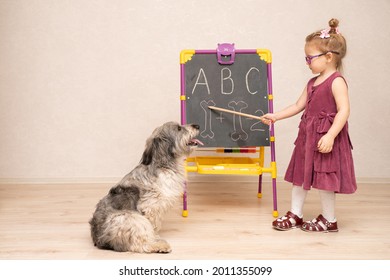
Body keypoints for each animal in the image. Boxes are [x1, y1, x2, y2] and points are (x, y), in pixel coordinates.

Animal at [89, 121, 201, 253]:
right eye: (179, 128)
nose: (197, 126)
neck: (164, 165)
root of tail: (99, 240)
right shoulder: (151, 207)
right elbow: (153, 227)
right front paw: (155, 237)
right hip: (132, 218)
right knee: (140, 245)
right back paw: (160, 246)